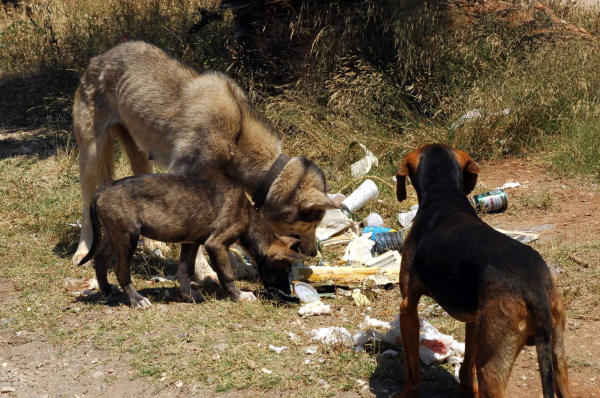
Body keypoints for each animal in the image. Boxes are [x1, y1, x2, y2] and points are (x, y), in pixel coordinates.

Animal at [72, 42, 336, 282]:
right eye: (312, 224)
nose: (314, 253)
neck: (237, 137)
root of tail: (98, 58)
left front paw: (235, 267)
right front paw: (205, 272)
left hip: (140, 157)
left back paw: (152, 247)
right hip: (91, 156)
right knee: (86, 204)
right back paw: (83, 251)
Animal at [77, 174, 304, 308]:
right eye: (283, 270)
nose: (287, 292)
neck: (249, 218)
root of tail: (100, 190)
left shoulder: (191, 242)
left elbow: (185, 271)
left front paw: (188, 295)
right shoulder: (216, 244)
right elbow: (227, 275)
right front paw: (239, 296)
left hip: (113, 234)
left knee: (101, 259)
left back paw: (107, 289)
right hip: (128, 236)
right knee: (120, 270)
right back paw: (136, 299)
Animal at [394, 144, 568, 398]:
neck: (443, 195)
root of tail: (534, 288)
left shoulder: (407, 308)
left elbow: (412, 371)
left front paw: (406, 392)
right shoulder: (474, 319)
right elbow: (467, 367)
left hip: (492, 368)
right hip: (557, 354)